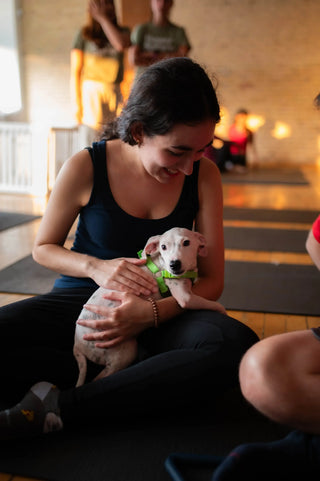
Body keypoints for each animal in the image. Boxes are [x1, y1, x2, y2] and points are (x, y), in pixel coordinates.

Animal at [74, 228, 226, 386]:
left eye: (186, 243)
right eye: (163, 247)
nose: (174, 265)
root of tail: (77, 347)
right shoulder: (186, 297)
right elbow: (211, 303)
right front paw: (221, 309)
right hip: (124, 352)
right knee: (99, 378)